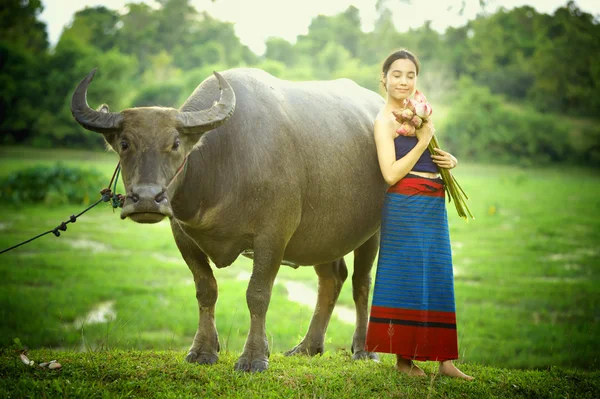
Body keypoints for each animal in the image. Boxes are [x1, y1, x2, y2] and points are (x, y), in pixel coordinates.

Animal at [71, 68, 390, 372]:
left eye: (175, 143)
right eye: (125, 143)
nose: (147, 199)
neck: (224, 164)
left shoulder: (273, 235)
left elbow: (257, 294)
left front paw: (254, 357)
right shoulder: (182, 235)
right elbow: (206, 289)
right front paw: (203, 350)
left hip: (371, 231)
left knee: (361, 283)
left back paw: (363, 350)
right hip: (321, 237)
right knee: (332, 278)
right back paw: (307, 347)